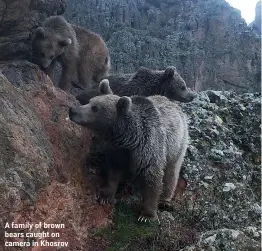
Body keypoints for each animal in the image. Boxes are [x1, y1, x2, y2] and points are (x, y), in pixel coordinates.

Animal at [69, 79, 188, 223]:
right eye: (90, 101)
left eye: (95, 108)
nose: (72, 110)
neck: (130, 139)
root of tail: (175, 105)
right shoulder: (118, 151)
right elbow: (114, 172)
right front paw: (106, 196)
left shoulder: (149, 150)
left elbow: (152, 180)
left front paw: (147, 215)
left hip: (178, 144)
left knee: (172, 172)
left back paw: (165, 198)